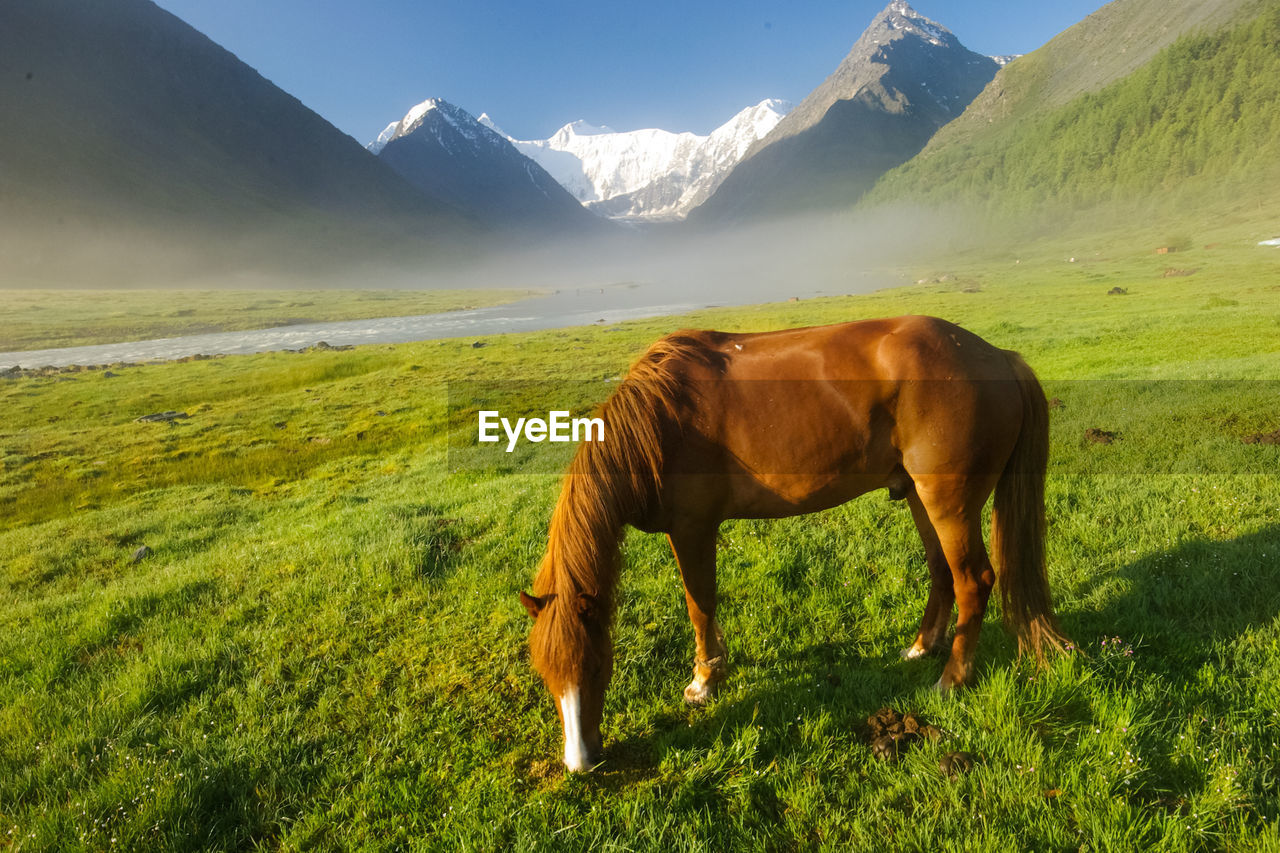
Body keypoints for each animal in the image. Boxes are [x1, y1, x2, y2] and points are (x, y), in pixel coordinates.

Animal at [514, 313, 1064, 768]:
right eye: (545, 673)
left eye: (596, 666)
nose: (580, 763)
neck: (661, 423)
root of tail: (998, 357)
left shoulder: (692, 528)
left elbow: (700, 604)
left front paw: (704, 681)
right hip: (919, 497)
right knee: (941, 571)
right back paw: (921, 647)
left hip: (948, 504)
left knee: (974, 580)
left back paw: (951, 680)